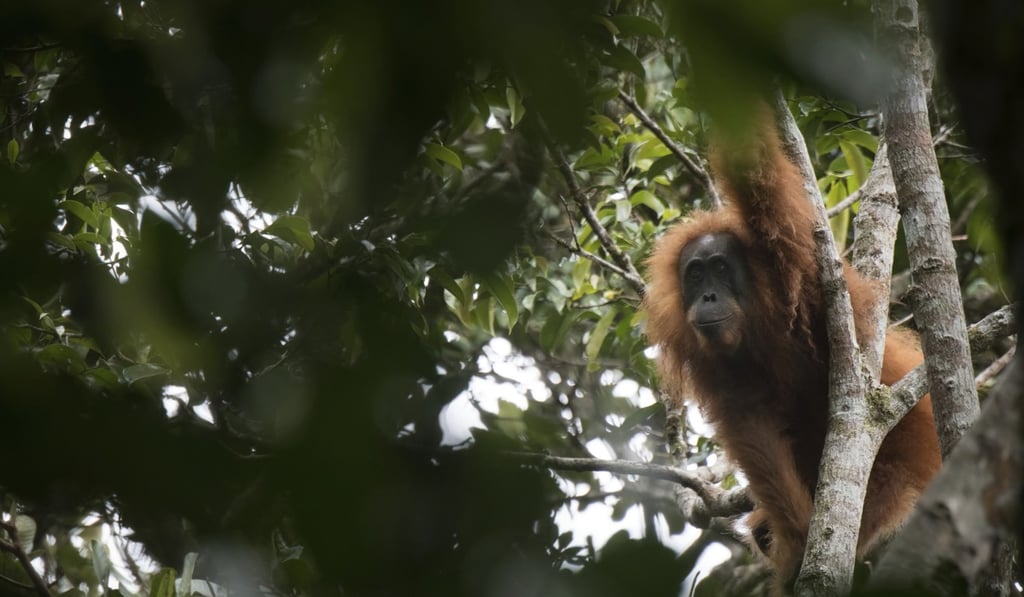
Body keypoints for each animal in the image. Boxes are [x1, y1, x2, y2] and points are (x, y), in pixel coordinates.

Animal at [643, 107, 942, 589]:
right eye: (695, 274)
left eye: (720, 268)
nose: (708, 296)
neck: (757, 325)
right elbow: (751, 424)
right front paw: (794, 538)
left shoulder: (793, 263)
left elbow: (755, 177)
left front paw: (798, 544)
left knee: (886, 483)